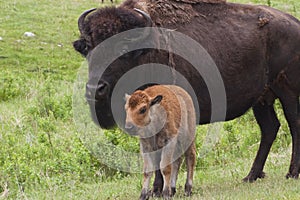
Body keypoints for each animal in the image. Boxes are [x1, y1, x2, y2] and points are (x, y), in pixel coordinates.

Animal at [72, 0, 300, 195]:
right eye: (88, 48)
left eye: (123, 49)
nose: (95, 89)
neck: (147, 49)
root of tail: (295, 24)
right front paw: (157, 189)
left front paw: (161, 189)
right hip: (261, 99)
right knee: (270, 128)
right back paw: (251, 176)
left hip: (286, 91)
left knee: (294, 124)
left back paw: (292, 173)